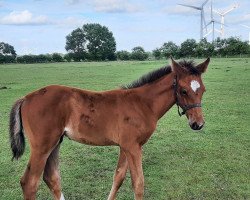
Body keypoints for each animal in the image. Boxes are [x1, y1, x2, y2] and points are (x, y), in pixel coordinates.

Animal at [9, 57, 209, 199]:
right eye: (183, 91)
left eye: (202, 90)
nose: (198, 124)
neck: (142, 104)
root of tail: (25, 98)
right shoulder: (132, 147)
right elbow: (138, 184)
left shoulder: (127, 146)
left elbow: (118, 177)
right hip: (42, 146)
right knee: (29, 183)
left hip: (55, 142)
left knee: (51, 177)